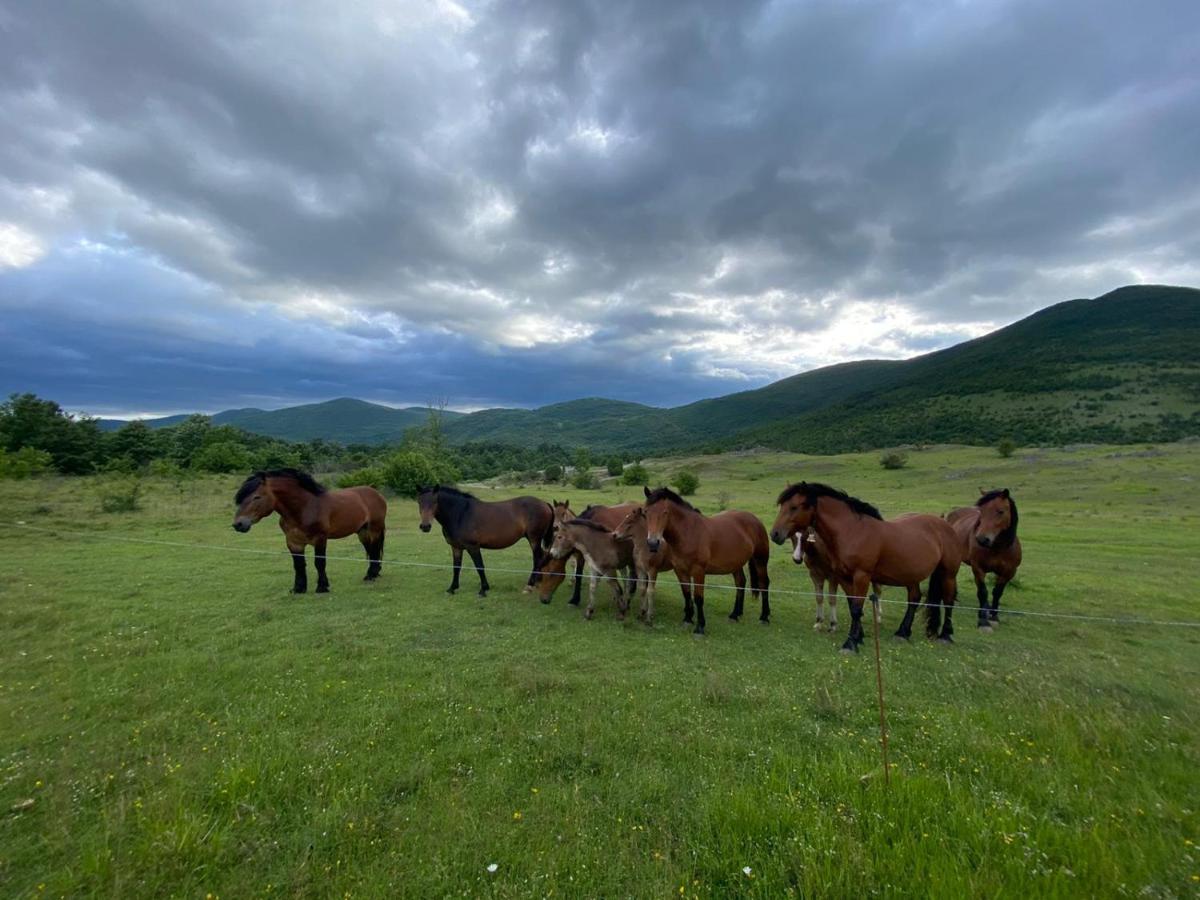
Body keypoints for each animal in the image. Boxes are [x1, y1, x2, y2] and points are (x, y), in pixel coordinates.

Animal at [231, 468, 386, 595]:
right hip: (362, 532)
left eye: (257, 497)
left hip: (374, 529)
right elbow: (298, 565)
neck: (305, 508)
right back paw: (371, 574)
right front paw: (298, 588)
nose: (238, 524)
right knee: (370, 550)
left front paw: (322, 587)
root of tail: (376, 493)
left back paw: (372, 575)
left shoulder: (320, 539)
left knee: (374, 550)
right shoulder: (293, 542)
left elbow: (319, 563)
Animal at [417, 487, 552, 600]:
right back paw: (538, 582)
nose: (425, 526)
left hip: (534, 539)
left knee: (537, 559)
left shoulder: (473, 547)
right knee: (541, 557)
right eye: (419, 502)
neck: (461, 514)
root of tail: (544, 503)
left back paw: (530, 585)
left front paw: (483, 589)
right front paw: (452, 588)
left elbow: (479, 566)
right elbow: (456, 567)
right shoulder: (456, 547)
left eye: (435, 502)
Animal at [643, 487, 772, 633]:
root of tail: (755, 519)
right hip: (736, 564)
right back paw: (735, 615)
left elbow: (698, 598)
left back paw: (764, 617)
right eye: (646, 512)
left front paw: (700, 627)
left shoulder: (699, 571)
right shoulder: (680, 570)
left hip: (760, 560)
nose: (653, 543)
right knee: (740, 582)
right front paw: (687, 619)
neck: (689, 533)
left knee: (763, 583)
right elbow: (686, 594)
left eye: (665, 512)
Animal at [772, 487, 960, 657]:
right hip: (911, 575)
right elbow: (852, 606)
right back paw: (902, 633)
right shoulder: (844, 578)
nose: (774, 534)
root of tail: (944, 524)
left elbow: (856, 608)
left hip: (948, 573)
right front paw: (859, 636)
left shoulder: (861, 576)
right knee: (914, 599)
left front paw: (850, 644)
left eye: (794, 507)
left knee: (948, 600)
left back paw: (945, 636)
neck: (852, 531)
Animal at [945, 489, 1022, 628]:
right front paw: (983, 619)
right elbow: (983, 592)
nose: (981, 539)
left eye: (1000, 511)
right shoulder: (978, 568)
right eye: (981, 511)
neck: (997, 548)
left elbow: (997, 592)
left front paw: (994, 616)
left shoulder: (1008, 572)